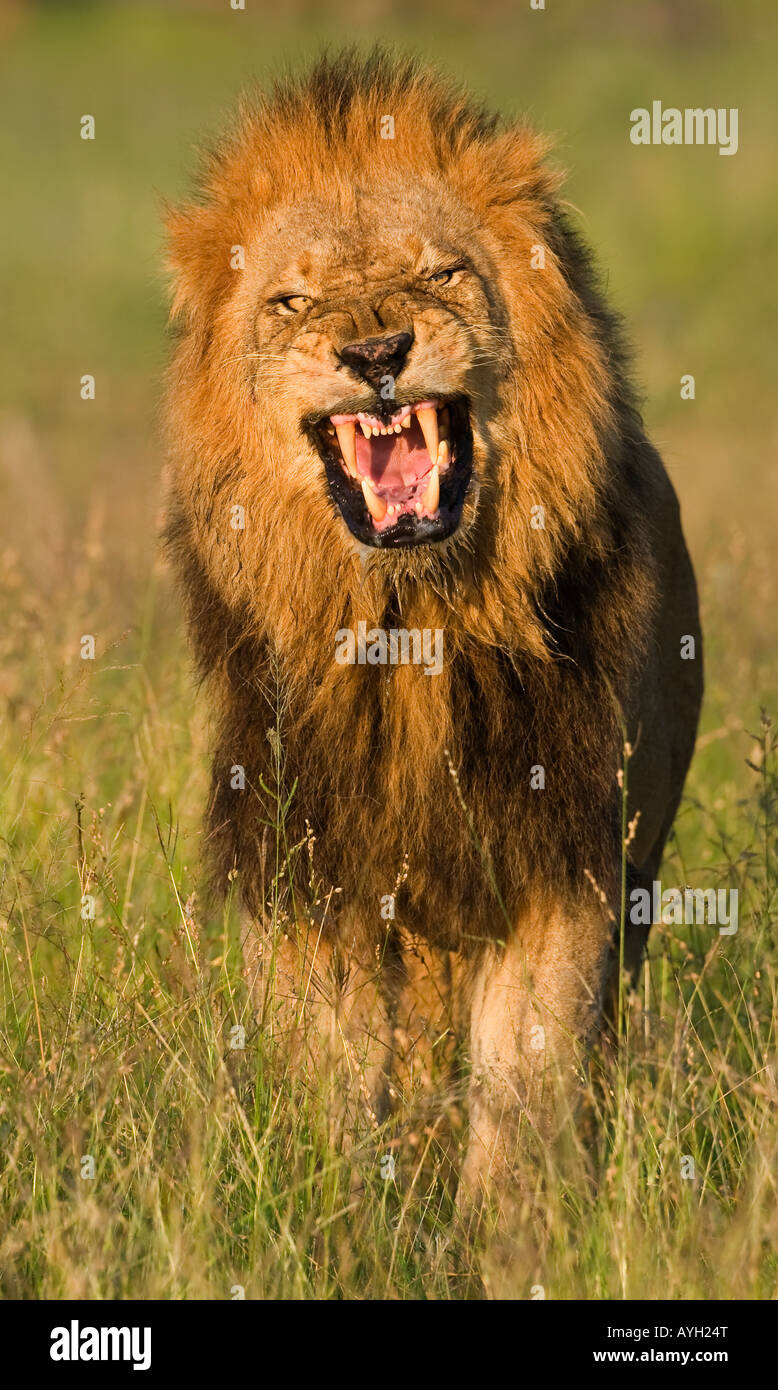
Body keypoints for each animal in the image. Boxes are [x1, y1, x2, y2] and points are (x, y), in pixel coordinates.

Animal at [161, 51, 702, 1206]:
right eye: (294, 299)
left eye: (444, 275)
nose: (376, 349)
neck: (411, 625)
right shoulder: (307, 868)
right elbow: (328, 1086)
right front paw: (335, 1213)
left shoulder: (564, 858)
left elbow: (524, 1085)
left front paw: (515, 1226)